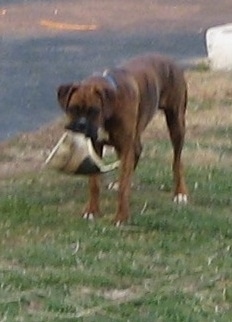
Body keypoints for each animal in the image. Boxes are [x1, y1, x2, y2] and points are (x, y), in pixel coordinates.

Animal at [57, 52, 188, 225]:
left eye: (94, 111)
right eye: (72, 109)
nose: (80, 125)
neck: (110, 107)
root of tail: (168, 59)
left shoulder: (125, 147)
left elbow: (124, 189)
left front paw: (121, 217)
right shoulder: (97, 147)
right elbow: (94, 183)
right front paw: (92, 210)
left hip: (176, 124)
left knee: (177, 162)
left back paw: (180, 192)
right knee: (137, 151)